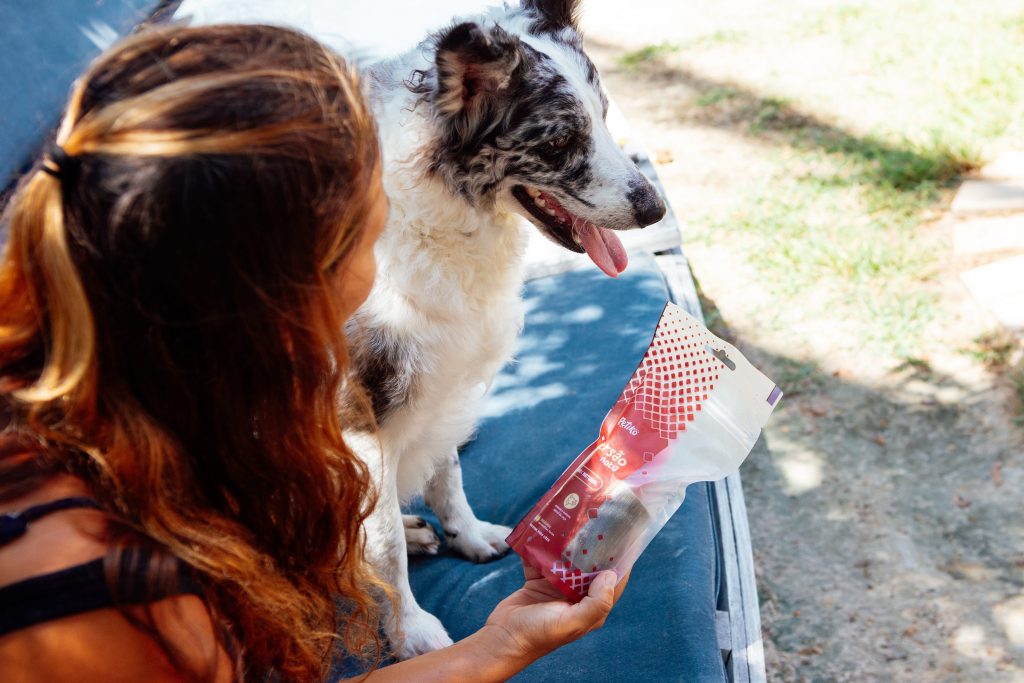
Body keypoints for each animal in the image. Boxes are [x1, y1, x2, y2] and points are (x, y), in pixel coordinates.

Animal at [339, 1, 667, 663]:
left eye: (605, 117)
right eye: (561, 141)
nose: (656, 209)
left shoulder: (445, 380)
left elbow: (448, 475)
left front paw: (469, 536)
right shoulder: (359, 416)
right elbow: (382, 542)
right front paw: (410, 629)